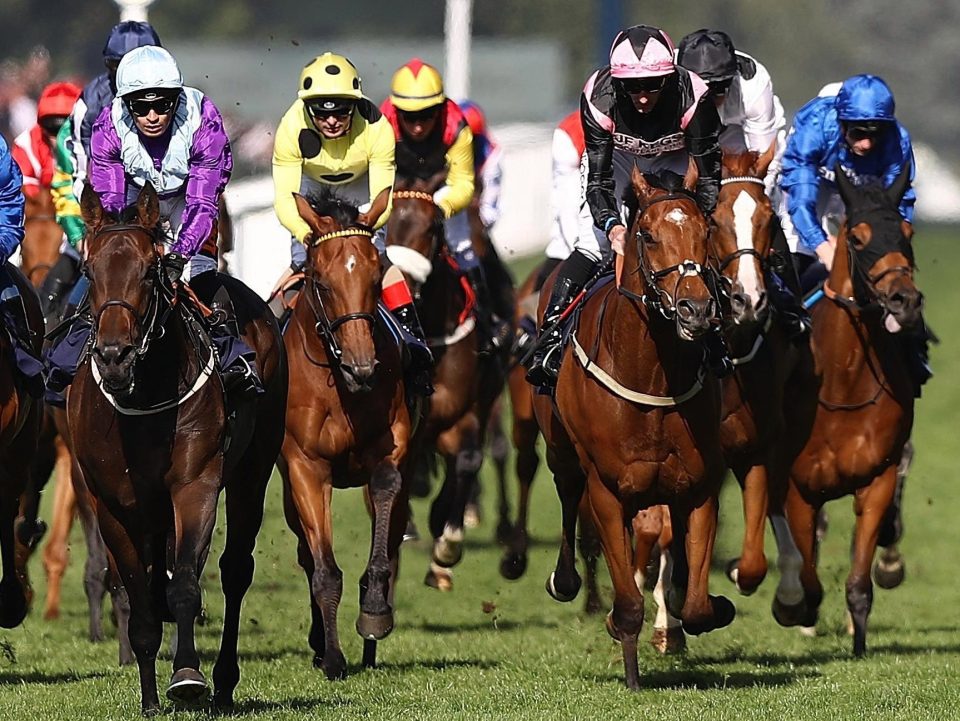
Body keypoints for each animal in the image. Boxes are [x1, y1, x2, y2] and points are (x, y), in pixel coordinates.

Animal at [68, 180, 288, 708]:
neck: (144, 398)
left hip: (253, 470)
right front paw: (149, 697)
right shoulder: (113, 501)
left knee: (234, 570)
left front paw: (187, 675)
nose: (114, 357)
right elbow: (137, 589)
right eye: (89, 270)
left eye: (150, 272)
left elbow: (185, 580)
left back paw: (224, 682)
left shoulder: (194, 484)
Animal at [278, 188, 412, 676]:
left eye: (375, 279)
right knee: (306, 551)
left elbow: (386, 487)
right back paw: (321, 643)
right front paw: (333, 656)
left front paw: (374, 610)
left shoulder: (393, 440)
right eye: (321, 281)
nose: (362, 367)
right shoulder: (305, 467)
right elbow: (323, 569)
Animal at [386, 180, 512, 592]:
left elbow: (469, 461)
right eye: (387, 224)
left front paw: (445, 550)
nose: (400, 283)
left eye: (432, 228)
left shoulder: (468, 413)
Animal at [532, 166, 736, 688]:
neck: (653, 373)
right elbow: (627, 603)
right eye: (647, 235)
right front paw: (629, 664)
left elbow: (697, 604)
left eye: (706, 232)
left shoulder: (698, 485)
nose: (695, 310)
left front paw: (709, 607)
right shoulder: (607, 489)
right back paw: (564, 580)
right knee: (568, 495)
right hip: (559, 449)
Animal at [768, 165, 920, 660]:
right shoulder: (799, 487)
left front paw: (859, 640)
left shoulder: (877, 479)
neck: (842, 384)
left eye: (907, 231)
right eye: (856, 237)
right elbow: (808, 574)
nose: (904, 300)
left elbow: (859, 580)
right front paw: (793, 608)